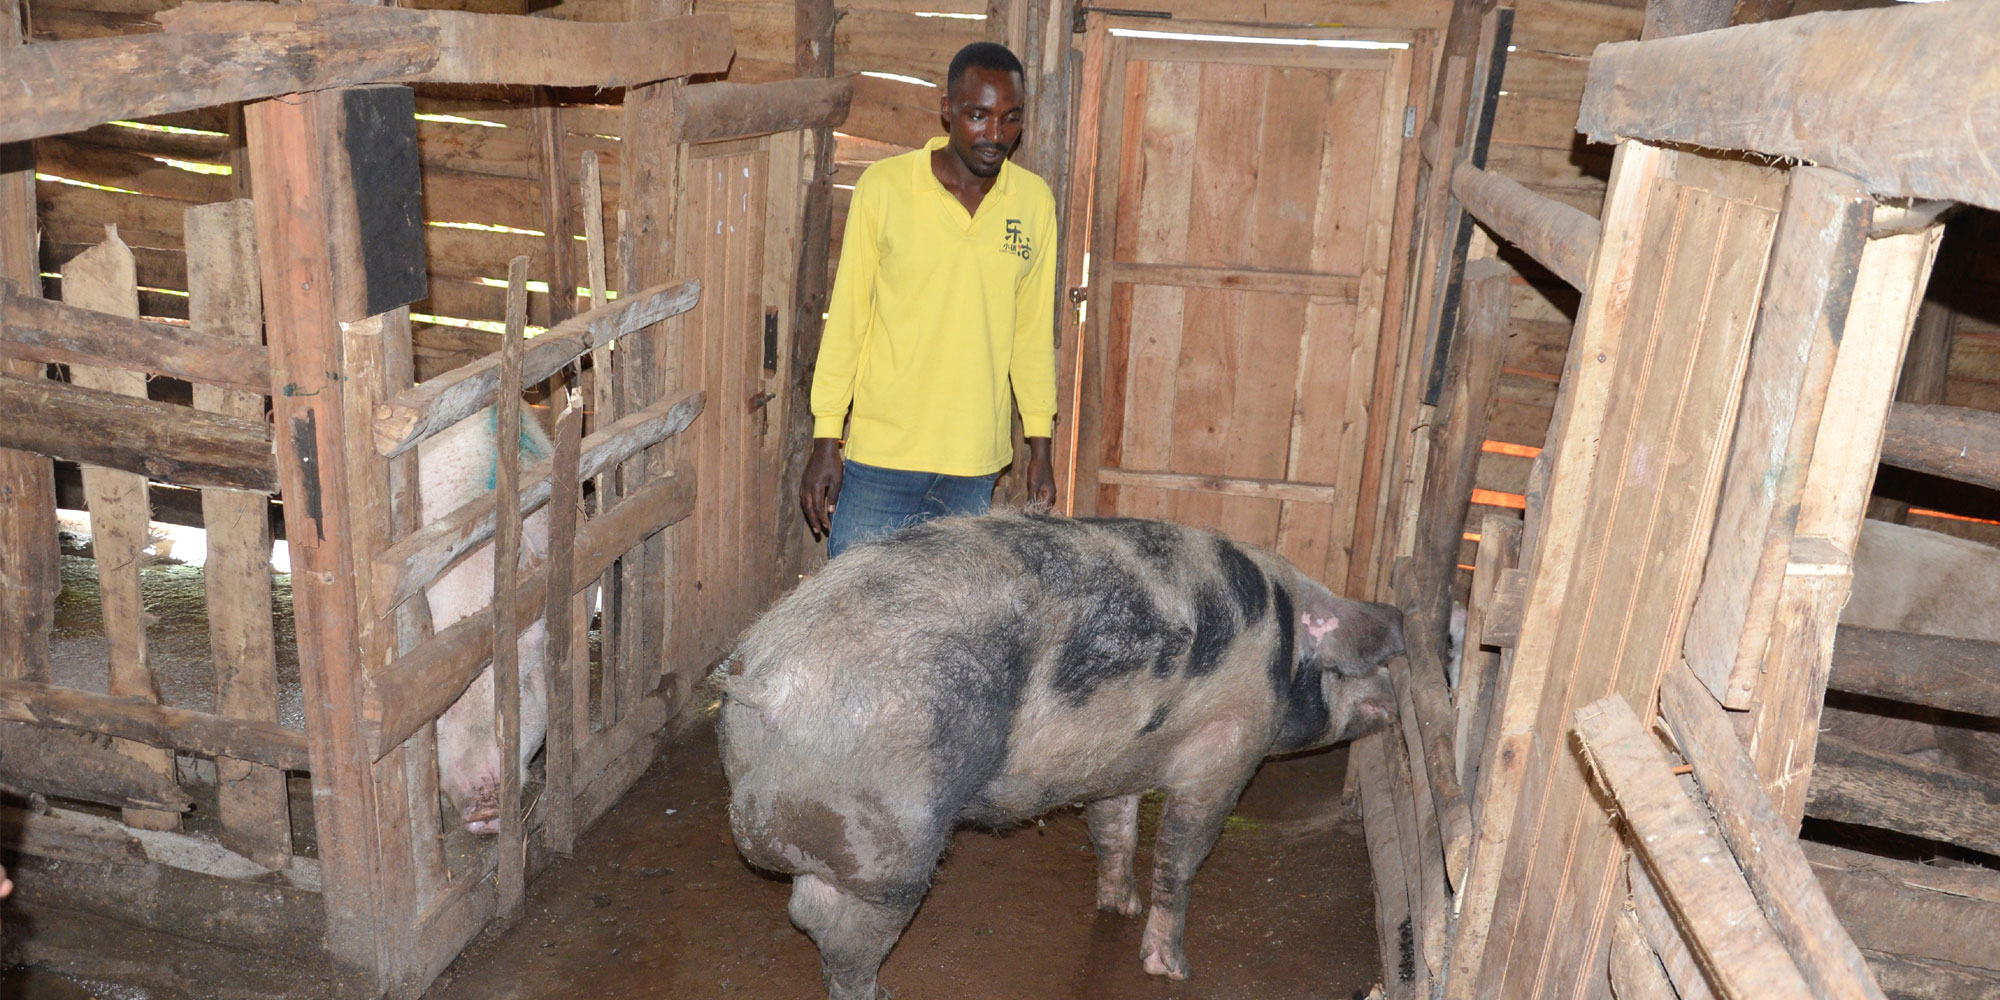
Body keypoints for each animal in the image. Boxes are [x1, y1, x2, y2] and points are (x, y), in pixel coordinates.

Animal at [719, 512, 1401, 1000]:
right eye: (1357, 667)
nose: (1394, 698)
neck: (1281, 654)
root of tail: (768, 679)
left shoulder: (1120, 762)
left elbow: (1114, 830)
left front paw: (1118, 905)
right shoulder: (1225, 754)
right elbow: (1180, 858)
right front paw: (1172, 969)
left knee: (810, 910)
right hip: (891, 841)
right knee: (839, 930)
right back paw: (882, 994)